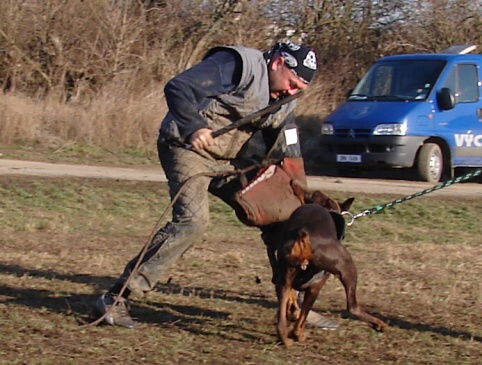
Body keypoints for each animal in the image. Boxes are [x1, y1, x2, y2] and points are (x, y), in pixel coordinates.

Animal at [272, 181, 388, 346]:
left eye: (311, 193)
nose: (293, 182)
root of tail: (304, 236)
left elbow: (291, 302)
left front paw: (291, 313)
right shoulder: (315, 284)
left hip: (284, 275)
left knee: (281, 320)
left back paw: (285, 338)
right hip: (346, 268)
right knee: (352, 306)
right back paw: (378, 323)